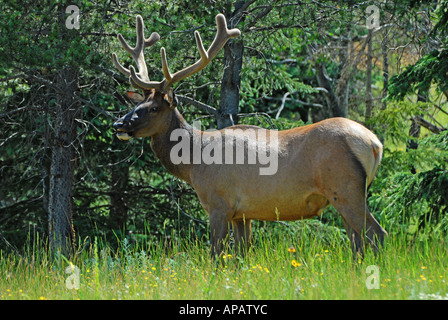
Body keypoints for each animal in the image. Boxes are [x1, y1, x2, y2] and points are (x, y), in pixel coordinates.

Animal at [111, 12, 384, 258]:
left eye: (154, 108)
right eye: (137, 104)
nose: (118, 124)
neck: (193, 162)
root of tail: (374, 143)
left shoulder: (219, 204)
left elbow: (216, 255)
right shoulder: (242, 214)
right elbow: (241, 257)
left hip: (345, 188)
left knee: (376, 233)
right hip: (345, 195)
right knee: (357, 241)